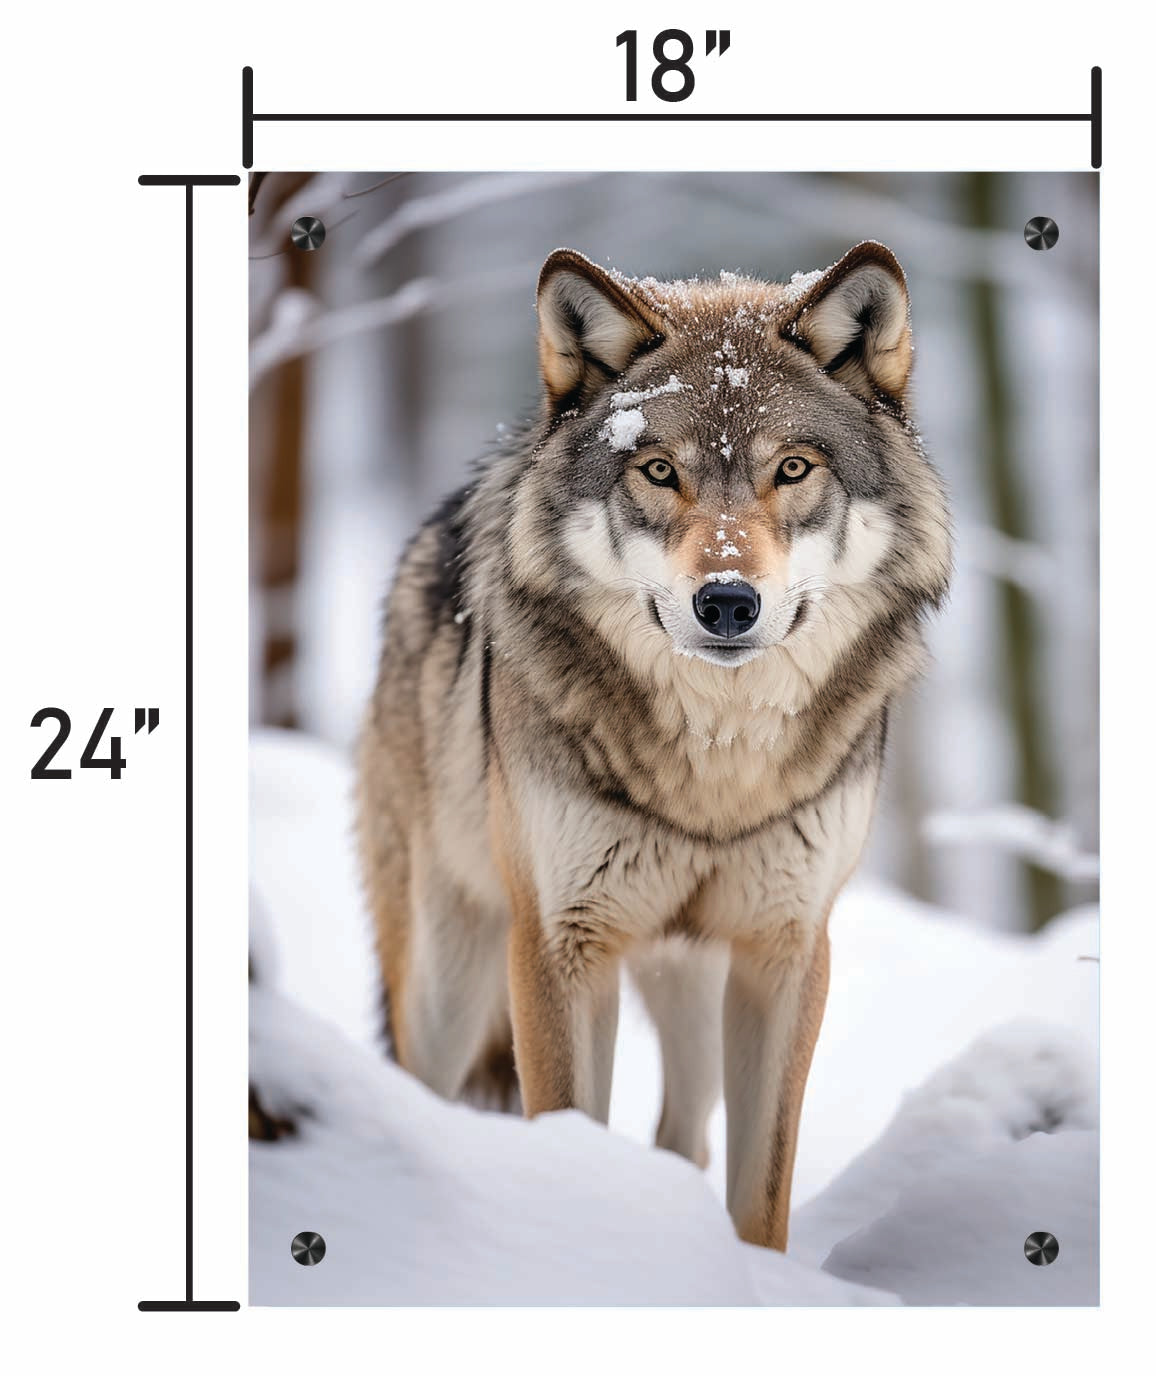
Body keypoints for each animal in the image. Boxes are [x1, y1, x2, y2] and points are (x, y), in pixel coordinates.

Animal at [356, 242, 951, 1250]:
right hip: (447, 982)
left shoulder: (786, 951)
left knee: (684, 1138)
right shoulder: (558, 944)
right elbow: (566, 1134)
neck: (716, 768)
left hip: (692, 985)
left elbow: (761, 1193)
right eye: (660, 471)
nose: (727, 602)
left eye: (793, 469)